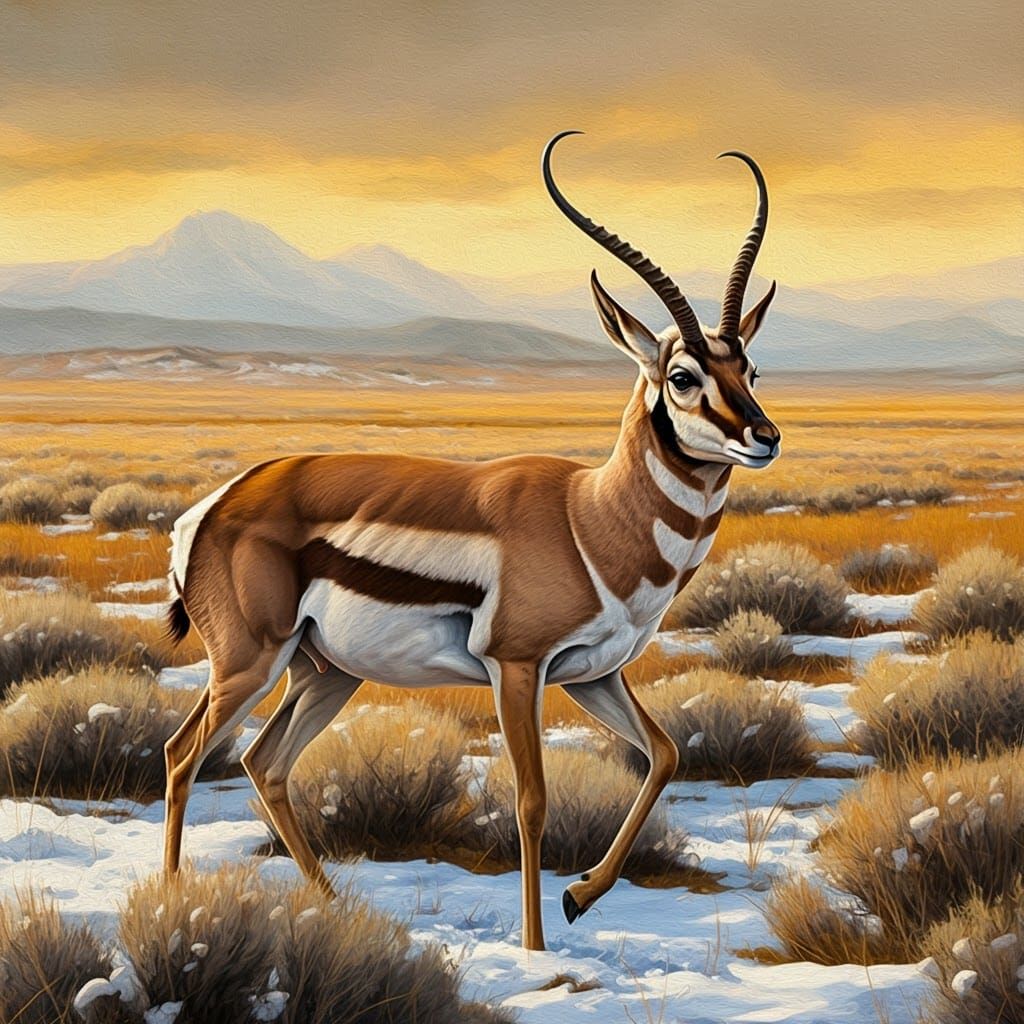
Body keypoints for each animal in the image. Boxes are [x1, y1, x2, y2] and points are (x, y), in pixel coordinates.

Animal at [161, 130, 781, 952]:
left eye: (749, 367)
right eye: (682, 375)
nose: (765, 437)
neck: (588, 519)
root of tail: (212, 506)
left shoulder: (592, 674)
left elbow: (665, 754)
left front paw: (579, 896)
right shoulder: (515, 667)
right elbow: (531, 799)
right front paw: (537, 947)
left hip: (323, 672)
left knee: (265, 763)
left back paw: (337, 909)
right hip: (248, 662)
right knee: (183, 755)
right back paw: (167, 901)